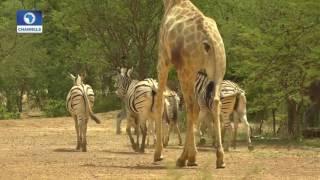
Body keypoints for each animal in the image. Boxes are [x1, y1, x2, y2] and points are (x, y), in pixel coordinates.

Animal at [154, 0, 226, 169]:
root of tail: (209, 39)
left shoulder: (163, 60)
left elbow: (159, 103)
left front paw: (158, 154)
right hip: (218, 70)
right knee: (214, 102)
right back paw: (219, 158)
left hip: (186, 70)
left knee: (191, 107)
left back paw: (183, 158)